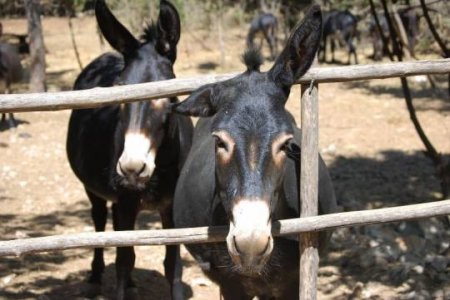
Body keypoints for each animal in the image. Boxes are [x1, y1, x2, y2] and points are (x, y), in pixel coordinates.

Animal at [66, 1, 192, 298]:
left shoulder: (171, 207)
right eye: (120, 88)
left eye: (168, 92)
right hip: (93, 189)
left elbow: (173, 264)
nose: (132, 168)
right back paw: (96, 275)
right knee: (100, 221)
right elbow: (124, 259)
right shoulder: (125, 203)